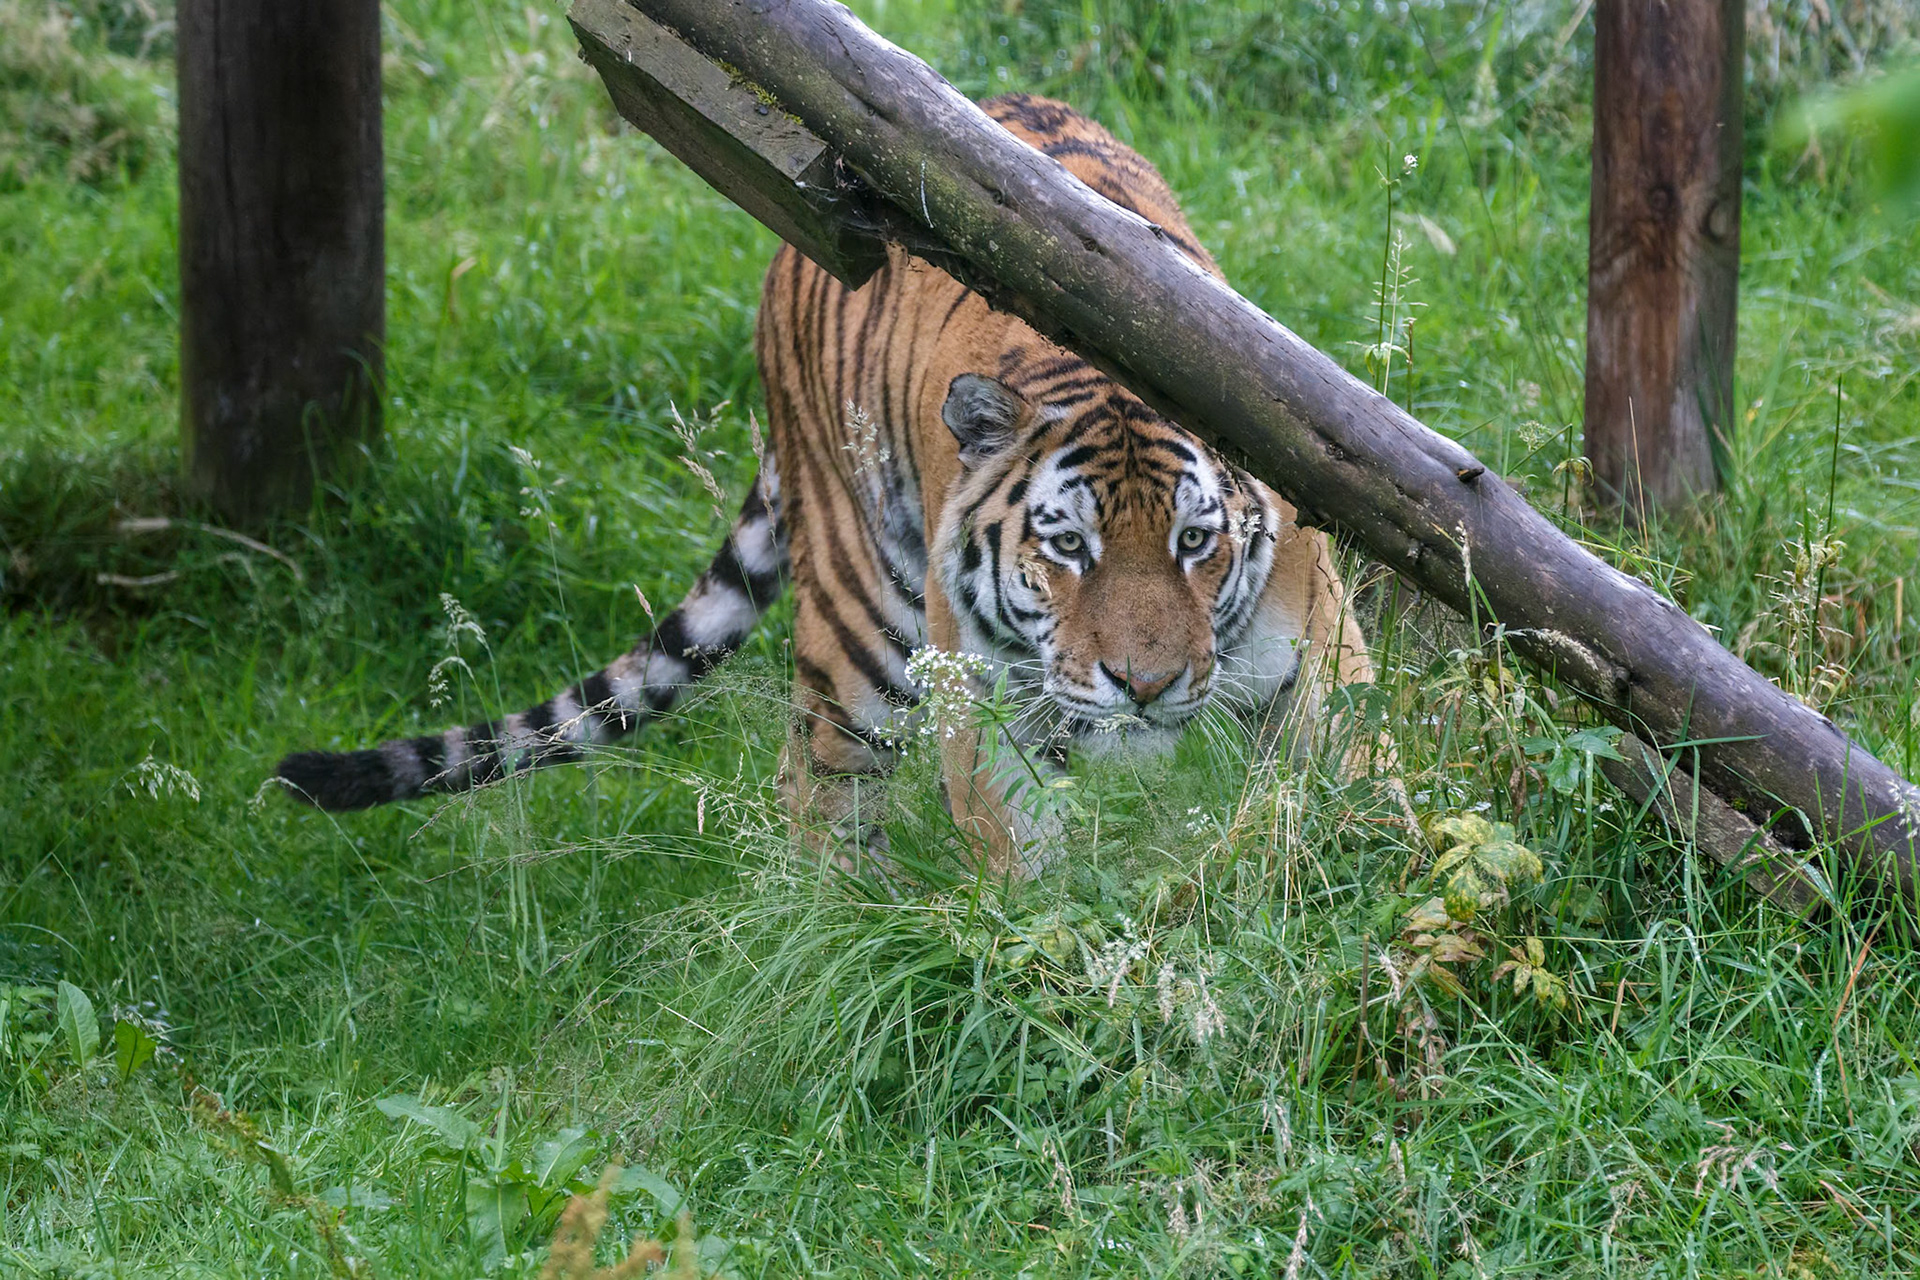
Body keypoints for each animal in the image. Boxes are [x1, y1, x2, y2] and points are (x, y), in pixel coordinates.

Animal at [276, 94, 1377, 875]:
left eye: (1197, 543)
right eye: (1068, 546)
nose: (1143, 687)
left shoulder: (1315, 659)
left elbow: (1359, 785)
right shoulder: (990, 714)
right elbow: (1034, 871)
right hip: (862, 620)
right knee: (818, 781)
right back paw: (861, 928)